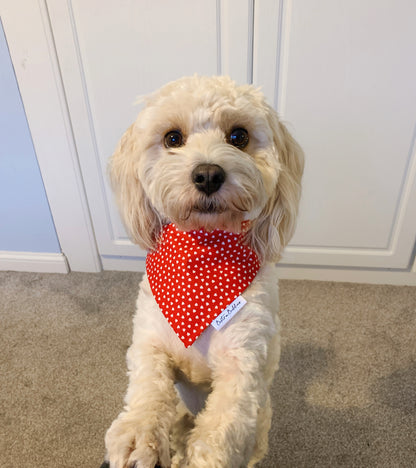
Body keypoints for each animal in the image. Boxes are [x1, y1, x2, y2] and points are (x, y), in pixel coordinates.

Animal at [102, 75, 304, 466]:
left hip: (261, 417)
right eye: (172, 138)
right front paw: (138, 435)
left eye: (238, 136)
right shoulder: (150, 342)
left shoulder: (240, 366)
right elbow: (148, 387)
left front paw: (204, 457)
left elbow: (219, 431)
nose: (208, 174)